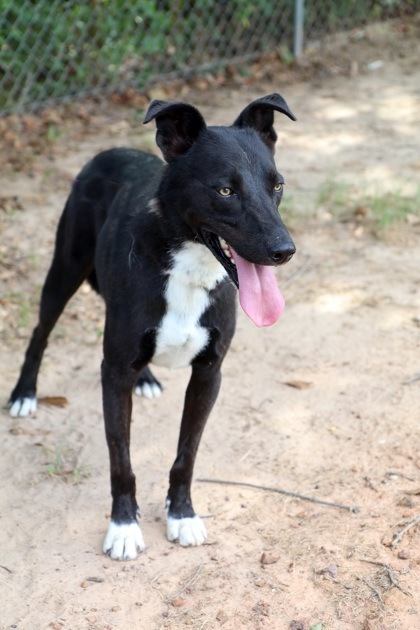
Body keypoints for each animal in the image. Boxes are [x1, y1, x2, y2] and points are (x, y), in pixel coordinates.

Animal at [6, 92, 296, 556]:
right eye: (225, 190)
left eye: (277, 185)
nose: (284, 251)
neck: (187, 268)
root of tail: (108, 151)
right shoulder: (113, 373)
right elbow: (120, 458)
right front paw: (124, 526)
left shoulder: (209, 373)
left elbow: (186, 455)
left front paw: (182, 515)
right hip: (64, 270)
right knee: (39, 334)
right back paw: (24, 394)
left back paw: (146, 379)